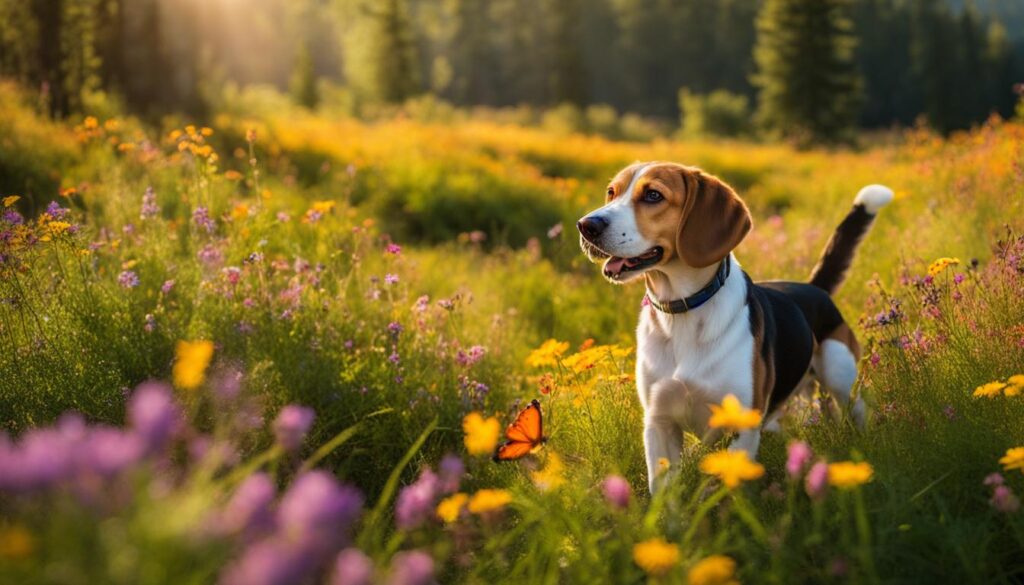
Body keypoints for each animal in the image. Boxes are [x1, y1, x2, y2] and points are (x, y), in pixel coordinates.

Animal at [581, 161, 892, 493]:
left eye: (653, 195)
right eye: (611, 192)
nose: (586, 225)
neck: (682, 310)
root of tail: (813, 287)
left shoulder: (741, 428)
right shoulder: (659, 423)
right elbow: (665, 496)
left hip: (838, 372)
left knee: (855, 407)